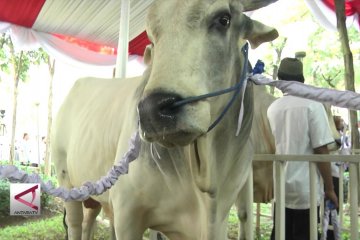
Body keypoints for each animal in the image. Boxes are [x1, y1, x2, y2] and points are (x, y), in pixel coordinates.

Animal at [52, 0, 278, 240]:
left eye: (224, 19)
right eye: (152, 37)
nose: (152, 111)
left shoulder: (220, 218)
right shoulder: (127, 214)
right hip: (66, 181)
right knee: (75, 223)